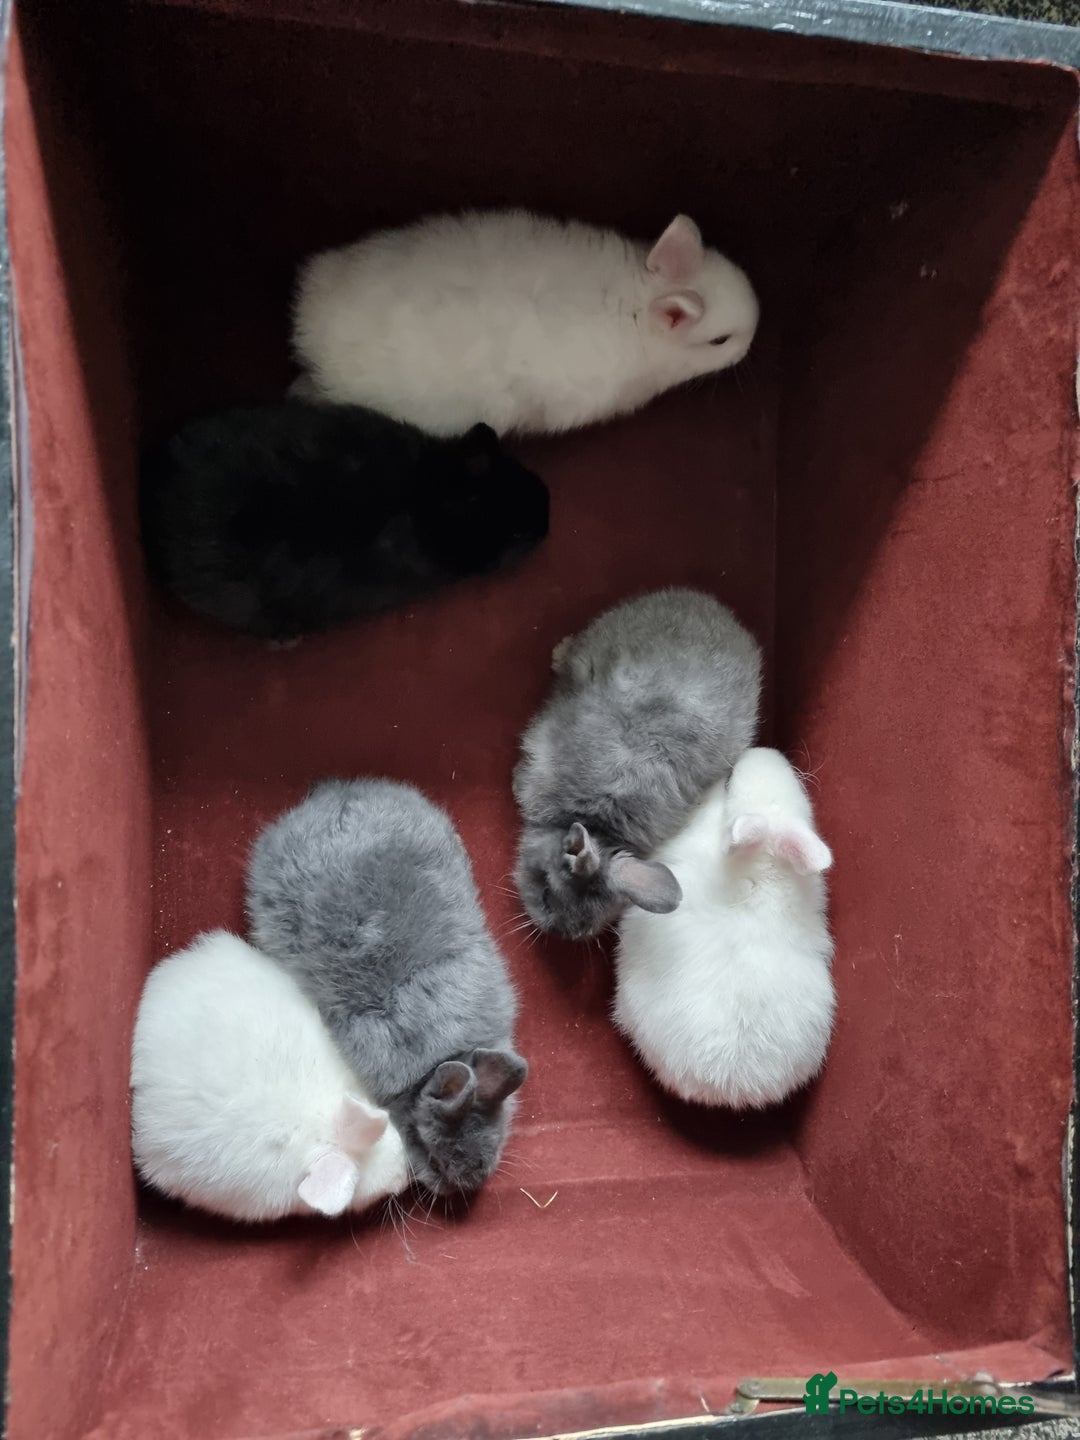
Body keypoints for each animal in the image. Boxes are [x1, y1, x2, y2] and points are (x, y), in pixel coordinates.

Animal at [514, 588, 762, 939]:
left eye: (588, 926)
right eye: (547, 893)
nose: (554, 931)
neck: (595, 823)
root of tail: (708, 604)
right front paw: (514, 782)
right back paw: (559, 652)